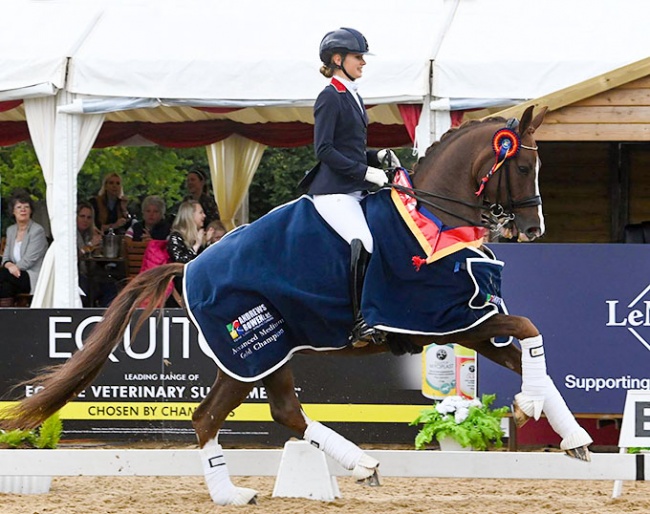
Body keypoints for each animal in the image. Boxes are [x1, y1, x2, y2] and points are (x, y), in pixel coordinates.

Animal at [0, 105, 588, 504]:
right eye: (523, 166)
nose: (533, 230)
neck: (433, 220)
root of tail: (189, 265)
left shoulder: (465, 320)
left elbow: (529, 345)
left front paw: (571, 435)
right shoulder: (447, 319)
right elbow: (529, 328)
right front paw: (533, 407)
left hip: (265, 353)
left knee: (260, 412)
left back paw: (313, 476)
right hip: (254, 348)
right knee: (230, 415)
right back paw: (285, 482)